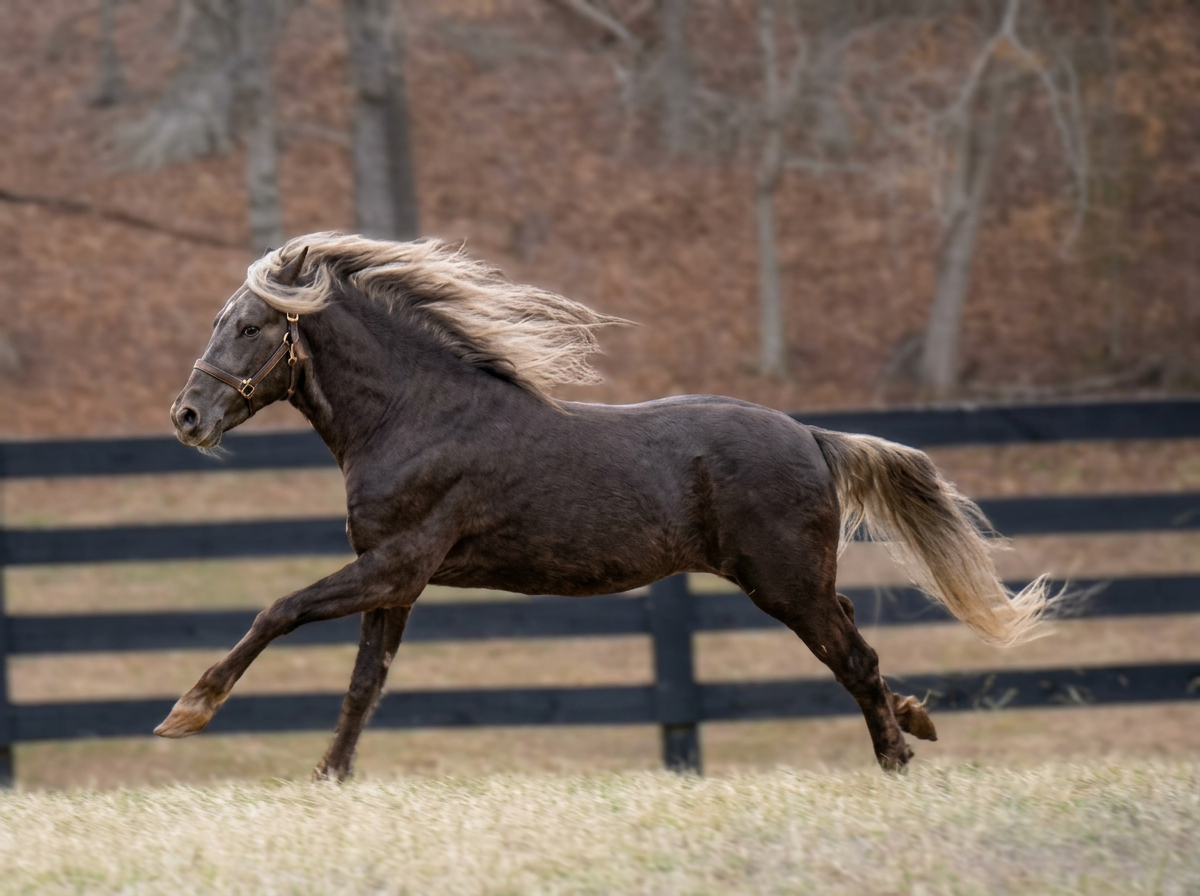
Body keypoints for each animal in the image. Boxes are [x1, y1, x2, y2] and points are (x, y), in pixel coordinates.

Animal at [160, 232, 1053, 779]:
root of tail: (811, 434)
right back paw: (915, 722)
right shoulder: (398, 584)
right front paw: (329, 775)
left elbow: (278, 610)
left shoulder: (394, 565)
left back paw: (898, 757)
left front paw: (187, 712)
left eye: (250, 325)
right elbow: (363, 685)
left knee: (855, 659)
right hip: (798, 583)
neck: (416, 416)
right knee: (859, 649)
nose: (187, 417)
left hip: (786, 585)